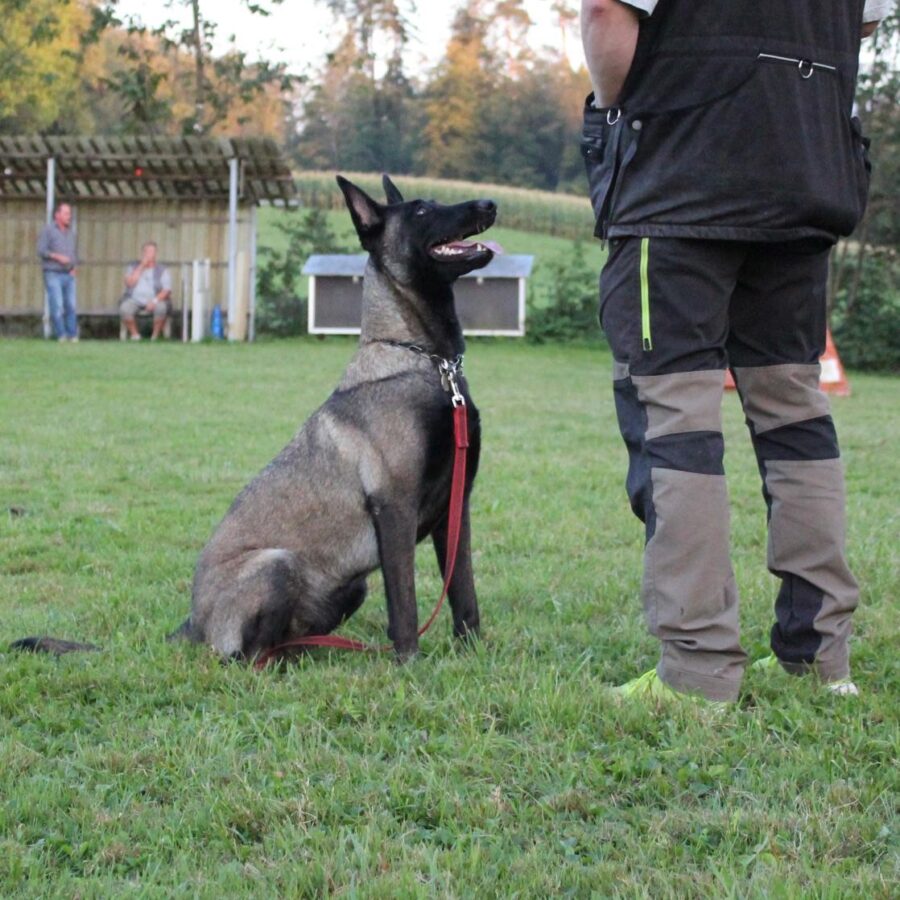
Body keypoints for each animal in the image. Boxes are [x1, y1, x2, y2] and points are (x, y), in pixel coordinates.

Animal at [163, 178, 500, 660]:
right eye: (420, 211)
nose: (490, 204)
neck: (426, 361)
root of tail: (194, 622)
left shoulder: (456, 509)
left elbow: (463, 590)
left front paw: (471, 653)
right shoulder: (394, 507)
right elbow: (405, 601)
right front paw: (410, 662)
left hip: (350, 588)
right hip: (276, 564)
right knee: (246, 658)